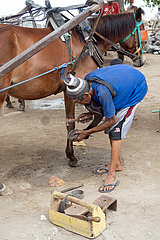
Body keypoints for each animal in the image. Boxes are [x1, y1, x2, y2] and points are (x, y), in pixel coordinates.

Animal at [0, 8, 145, 167]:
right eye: (143, 31)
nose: (142, 60)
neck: (86, 39)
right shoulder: (73, 90)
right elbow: (71, 123)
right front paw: (72, 156)